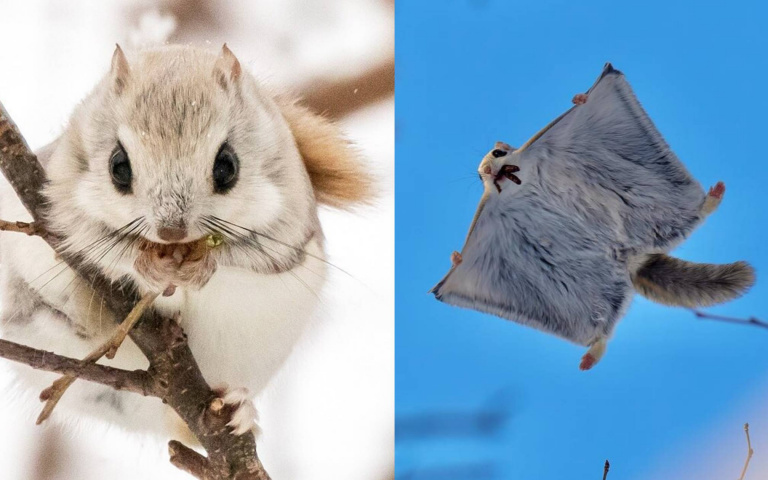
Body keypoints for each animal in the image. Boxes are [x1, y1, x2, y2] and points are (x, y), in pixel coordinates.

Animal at [0, 45, 372, 438]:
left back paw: (239, 409)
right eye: (118, 166)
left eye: (227, 166)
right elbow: (92, 243)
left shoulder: (288, 224)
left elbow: (246, 261)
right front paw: (147, 266)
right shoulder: (56, 200)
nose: (171, 232)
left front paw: (202, 268)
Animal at [432, 63, 756, 372]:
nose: (487, 171)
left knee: (695, 212)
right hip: (578, 298)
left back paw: (710, 200)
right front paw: (457, 259)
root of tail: (630, 257)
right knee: (601, 328)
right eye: (479, 175)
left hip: (657, 201)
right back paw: (594, 350)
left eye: (497, 153)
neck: (521, 184)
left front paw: (581, 98)